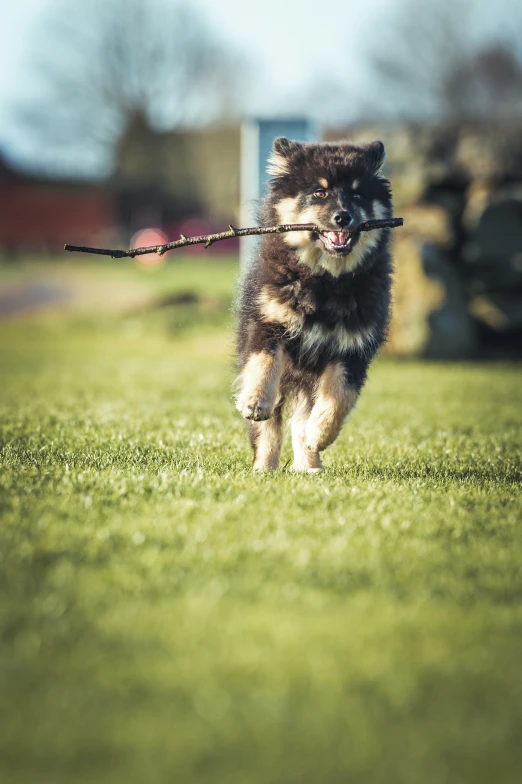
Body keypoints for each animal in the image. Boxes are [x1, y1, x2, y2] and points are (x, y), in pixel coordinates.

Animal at [235, 136, 390, 472]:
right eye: (320, 193)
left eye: (357, 194)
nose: (343, 216)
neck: (326, 281)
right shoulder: (268, 324)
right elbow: (263, 365)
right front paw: (255, 401)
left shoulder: (352, 349)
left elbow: (338, 398)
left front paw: (319, 434)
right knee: (269, 428)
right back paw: (263, 468)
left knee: (300, 420)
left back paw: (309, 466)